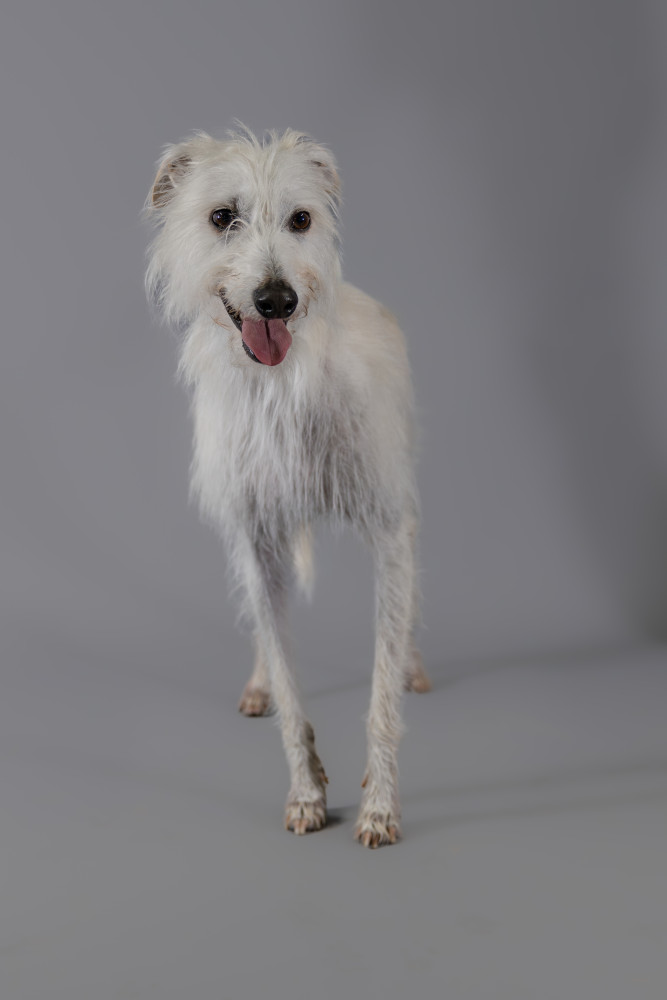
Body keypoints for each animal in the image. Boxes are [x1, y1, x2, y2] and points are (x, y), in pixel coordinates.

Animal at [145, 127, 430, 847]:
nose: (276, 300)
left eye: (301, 219)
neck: (280, 383)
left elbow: (380, 685)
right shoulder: (254, 538)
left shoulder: (386, 530)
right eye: (222, 216)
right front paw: (306, 791)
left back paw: (412, 663)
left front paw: (379, 805)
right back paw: (258, 684)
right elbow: (284, 669)